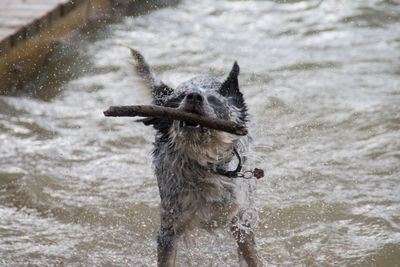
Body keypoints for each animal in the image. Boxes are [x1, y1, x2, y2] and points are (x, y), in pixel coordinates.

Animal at [130, 48, 264, 267]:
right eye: (181, 98)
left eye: (215, 100)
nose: (193, 96)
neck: (205, 166)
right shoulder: (168, 229)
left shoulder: (241, 222)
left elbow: (253, 257)